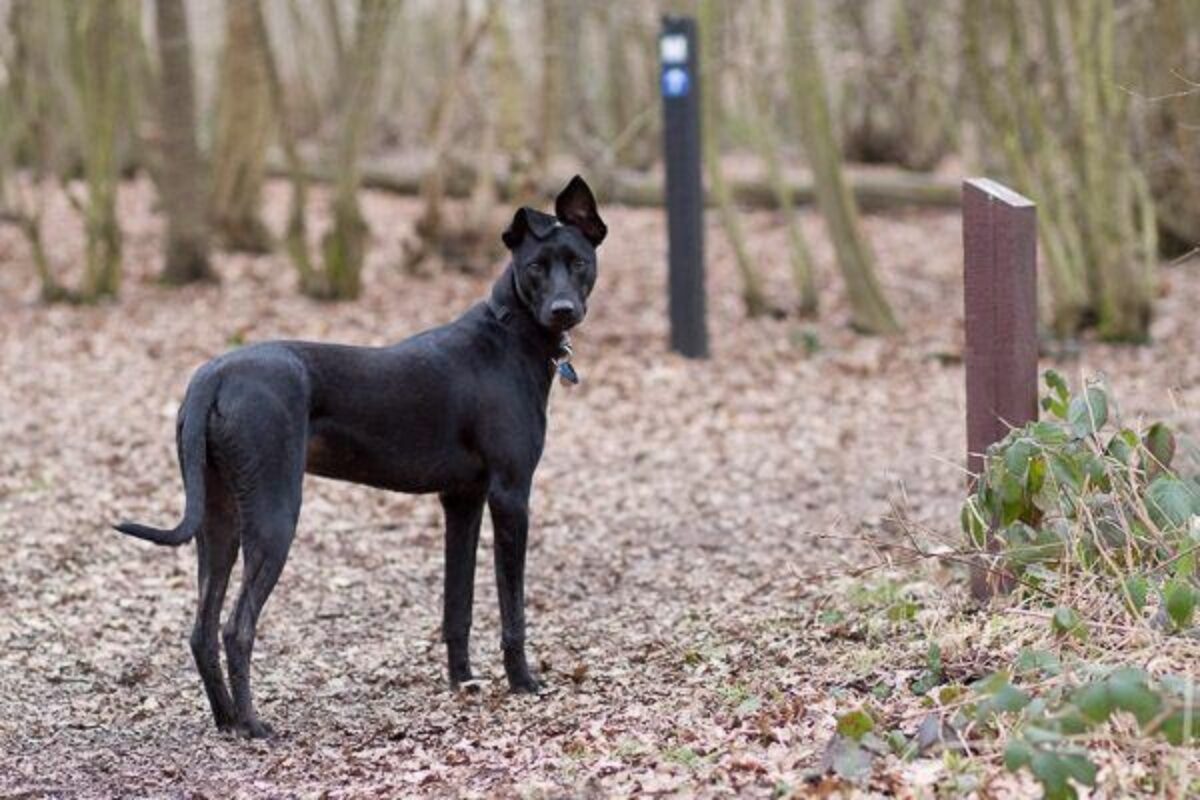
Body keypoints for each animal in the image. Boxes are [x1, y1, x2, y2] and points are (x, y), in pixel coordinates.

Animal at [115, 175, 604, 738]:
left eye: (579, 262)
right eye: (536, 267)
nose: (563, 310)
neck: (508, 334)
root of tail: (210, 378)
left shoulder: (462, 500)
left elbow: (456, 605)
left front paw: (463, 682)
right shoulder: (510, 495)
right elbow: (512, 606)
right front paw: (523, 682)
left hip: (219, 519)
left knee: (202, 628)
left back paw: (227, 720)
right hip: (274, 516)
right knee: (237, 627)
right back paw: (255, 725)